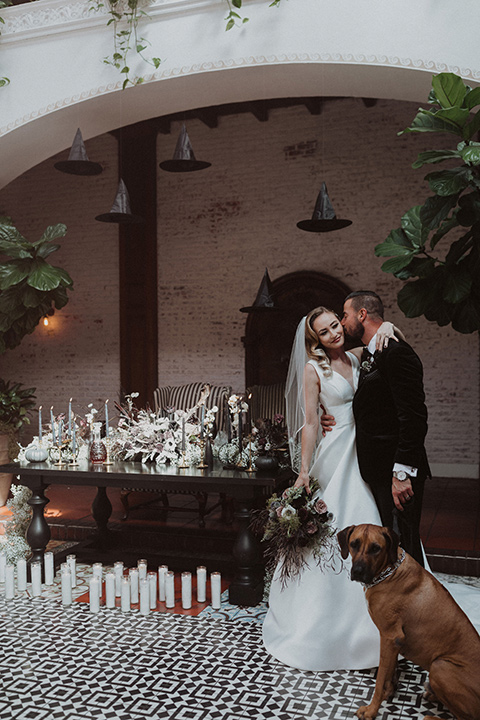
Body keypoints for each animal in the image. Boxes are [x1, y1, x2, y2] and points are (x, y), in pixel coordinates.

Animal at [338, 524, 480, 720]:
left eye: (376, 548)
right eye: (354, 544)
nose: (358, 571)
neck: (389, 571)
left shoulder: (390, 637)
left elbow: (380, 678)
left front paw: (371, 710)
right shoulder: (394, 642)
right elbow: (389, 672)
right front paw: (388, 692)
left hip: (440, 666)